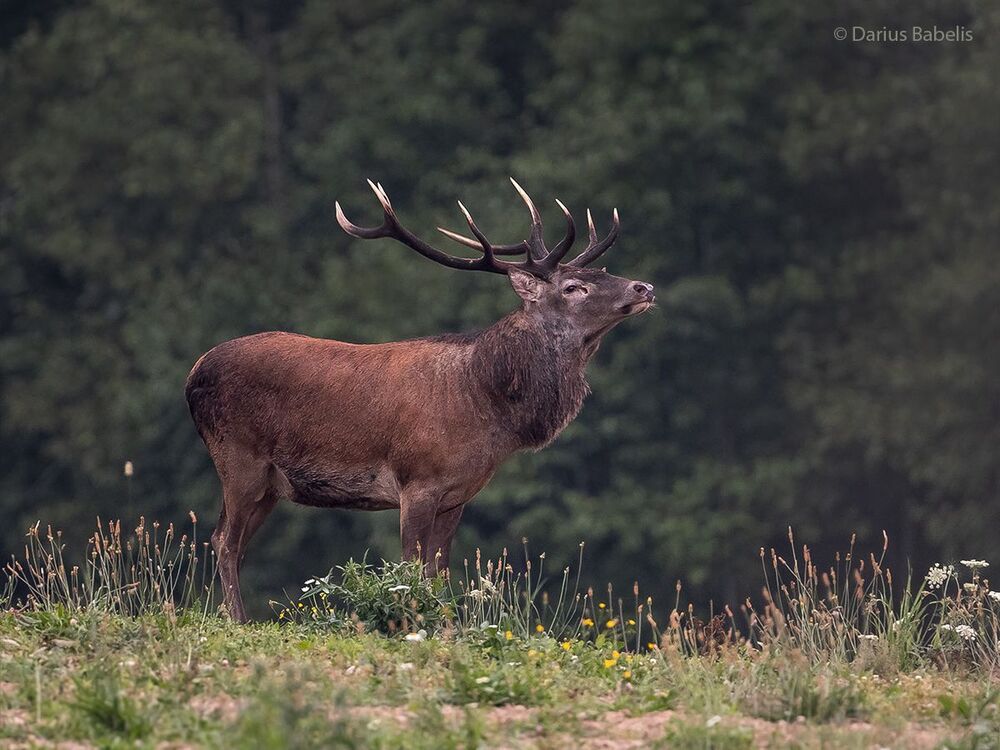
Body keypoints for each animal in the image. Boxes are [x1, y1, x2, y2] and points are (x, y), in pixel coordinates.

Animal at [185, 179, 655, 621]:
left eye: (604, 273)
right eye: (574, 287)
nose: (644, 286)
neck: (486, 409)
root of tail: (193, 373)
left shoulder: (458, 495)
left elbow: (439, 573)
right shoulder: (417, 482)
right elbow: (411, 569)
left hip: (269, 483)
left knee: (231, 539)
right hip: (238, 458)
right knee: (225, 540)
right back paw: (240, 620)